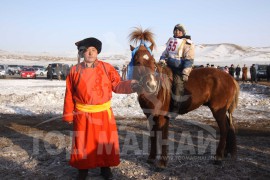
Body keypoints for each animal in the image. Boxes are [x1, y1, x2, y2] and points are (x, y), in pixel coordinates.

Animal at [129, 27, 240, 167]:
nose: (152, 85)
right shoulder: (150, 116)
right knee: (228, 127)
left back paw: (218, 157)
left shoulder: (162, 116)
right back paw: (225, 152)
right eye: (138, 62)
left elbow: (163, 137)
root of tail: (230, 78)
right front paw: (151, 158)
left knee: (224, 129)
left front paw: (162, 163)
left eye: (152, 62)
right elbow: (153, 136)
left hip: (218, 110)